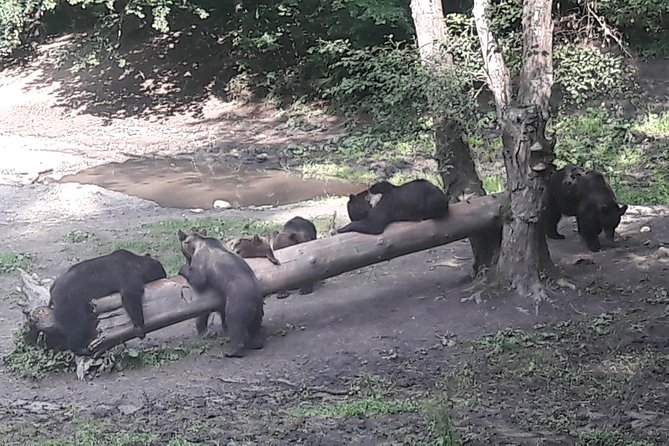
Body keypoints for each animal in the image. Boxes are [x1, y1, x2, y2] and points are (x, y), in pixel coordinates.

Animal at [177, 229, 264, 357]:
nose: (183, 253)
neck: (198, 242)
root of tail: (256, 299)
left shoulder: (200, 263)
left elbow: (198, 278)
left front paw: (183, 268)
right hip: (258, 310)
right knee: (255, 326)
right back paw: (255, 343)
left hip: (237, 303)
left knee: (235, 324)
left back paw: (232, 352)